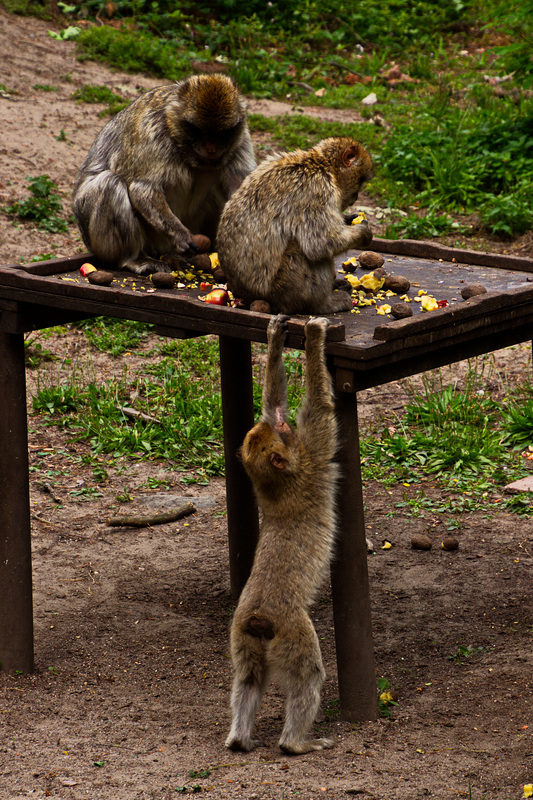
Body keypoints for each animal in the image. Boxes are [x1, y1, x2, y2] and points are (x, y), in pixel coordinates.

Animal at [71, 75, 255, 276]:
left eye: (222, 133)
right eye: (199, 131)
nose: (211, 149)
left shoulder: (240, 140)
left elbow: (242, 189)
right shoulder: (153, 135)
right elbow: (143, 189)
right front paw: (179, 234)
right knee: (110, 183)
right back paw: (132, 258)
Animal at [216, 136, 374, 314]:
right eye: (360, 181)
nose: (356, 197)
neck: (322, 164)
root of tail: (243, 294)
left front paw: (348, 218)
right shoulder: (316, 189)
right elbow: (320, 244)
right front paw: (364, 232)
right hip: (282, 290)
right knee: (301, 251)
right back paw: (323, 303)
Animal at [227, 314, 338, 756]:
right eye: (285, 433)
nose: (284, 425)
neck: (276, 482)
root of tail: (259, 616)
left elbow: (273, 396)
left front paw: (276, 338)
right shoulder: (312, 455)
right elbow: (321, 407)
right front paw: (314, 337)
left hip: (240, 635)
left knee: (248, 679)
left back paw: (239, 740)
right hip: (293, 633)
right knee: (308, 676)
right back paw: (296, 744)